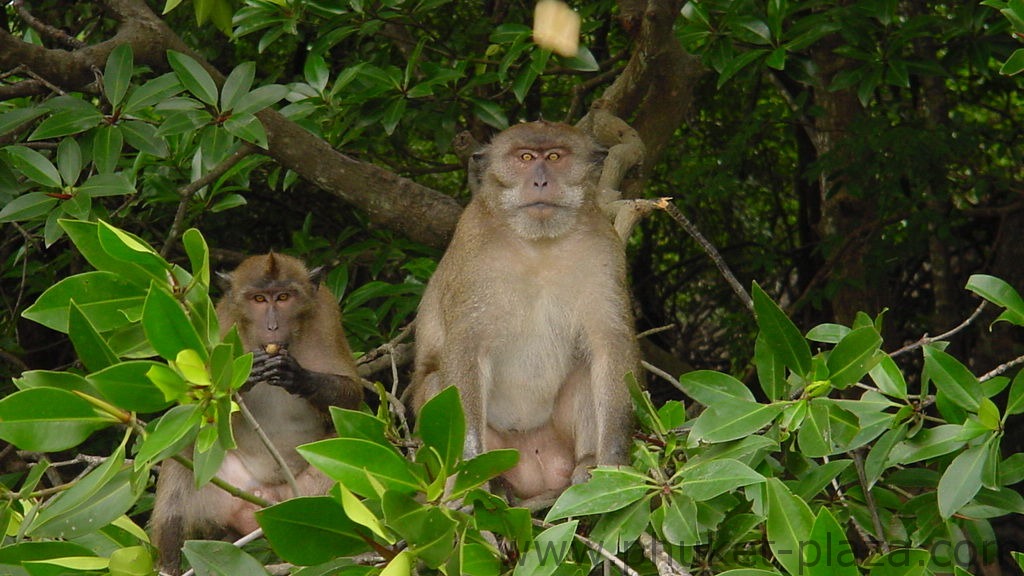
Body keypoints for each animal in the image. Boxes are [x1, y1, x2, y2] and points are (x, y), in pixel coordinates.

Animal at [149, 253, 362, 569]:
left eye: (283, 297)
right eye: (259, 299)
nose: (272, 326)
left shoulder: (326, 316)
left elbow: (351, 398)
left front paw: (299, 377)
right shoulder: (224, 321)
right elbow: (195, 403)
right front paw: (247, 375)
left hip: (302, 499)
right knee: (186, 449)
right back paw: (169, 563)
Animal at [409, 119, 634, 502]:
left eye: (555, 157)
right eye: (526, 157)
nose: (540, 181)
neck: (538, 245)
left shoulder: (604, 245)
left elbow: (609, 342)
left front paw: (614, 466)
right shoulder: (473, 248)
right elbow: (466, 347)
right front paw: (464, 483)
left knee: (587, 368)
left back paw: (587, 462)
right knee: (439, 383)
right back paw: (494, 486)